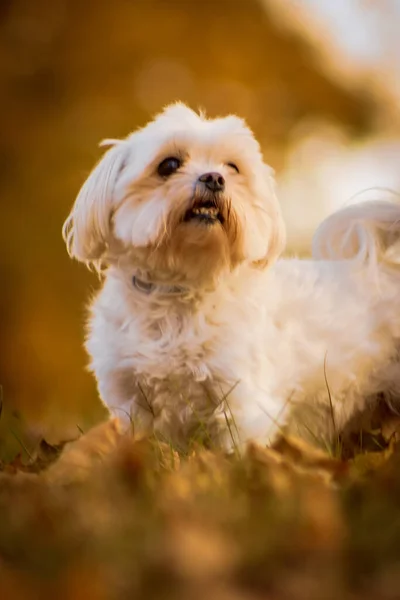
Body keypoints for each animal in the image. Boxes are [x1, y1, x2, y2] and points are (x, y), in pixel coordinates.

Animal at [61, 103, 400, 450]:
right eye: (168, 165)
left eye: (232, 167)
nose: (214, 177)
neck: (182, 287)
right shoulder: (131, 400)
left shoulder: (242, 401)